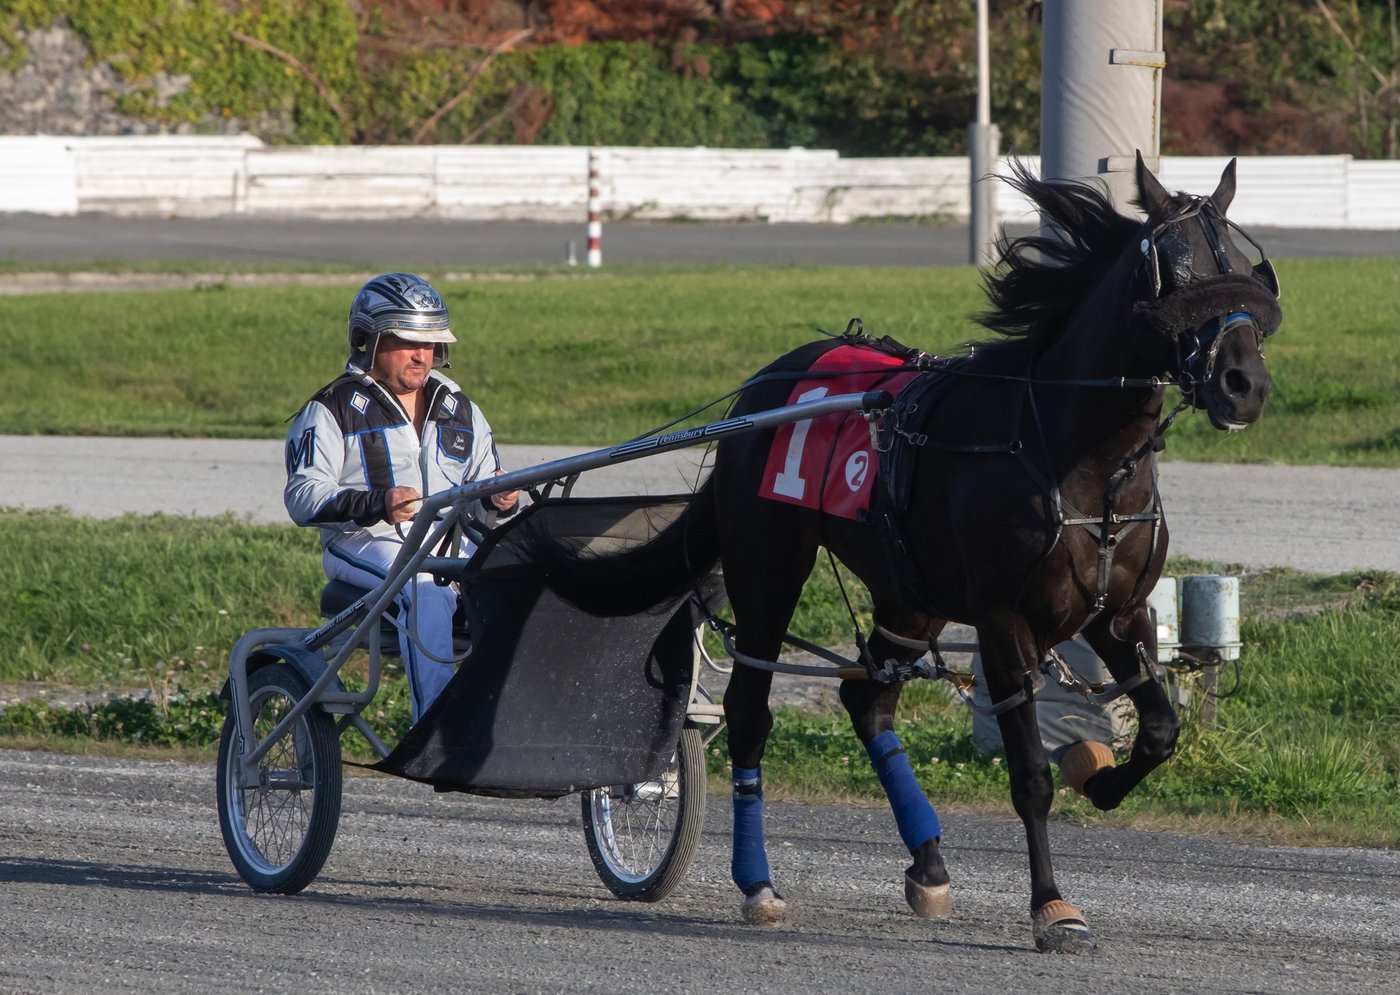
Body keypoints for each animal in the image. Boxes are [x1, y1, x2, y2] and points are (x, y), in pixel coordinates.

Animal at [529, 152, 1282, 952]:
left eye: (1245, 266)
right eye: (1176, 268)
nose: (1244, 384)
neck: (1077, 458)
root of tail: (759, 391)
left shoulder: (1119, 611)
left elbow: (1162, 731)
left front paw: (1098, 772)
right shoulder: (1003, 621)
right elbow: (1030, 777)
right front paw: (1053, 906)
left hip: (909, 593)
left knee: (867, 699)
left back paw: (929, 861)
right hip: (769, 563)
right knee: (750, 708)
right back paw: (758, 881)